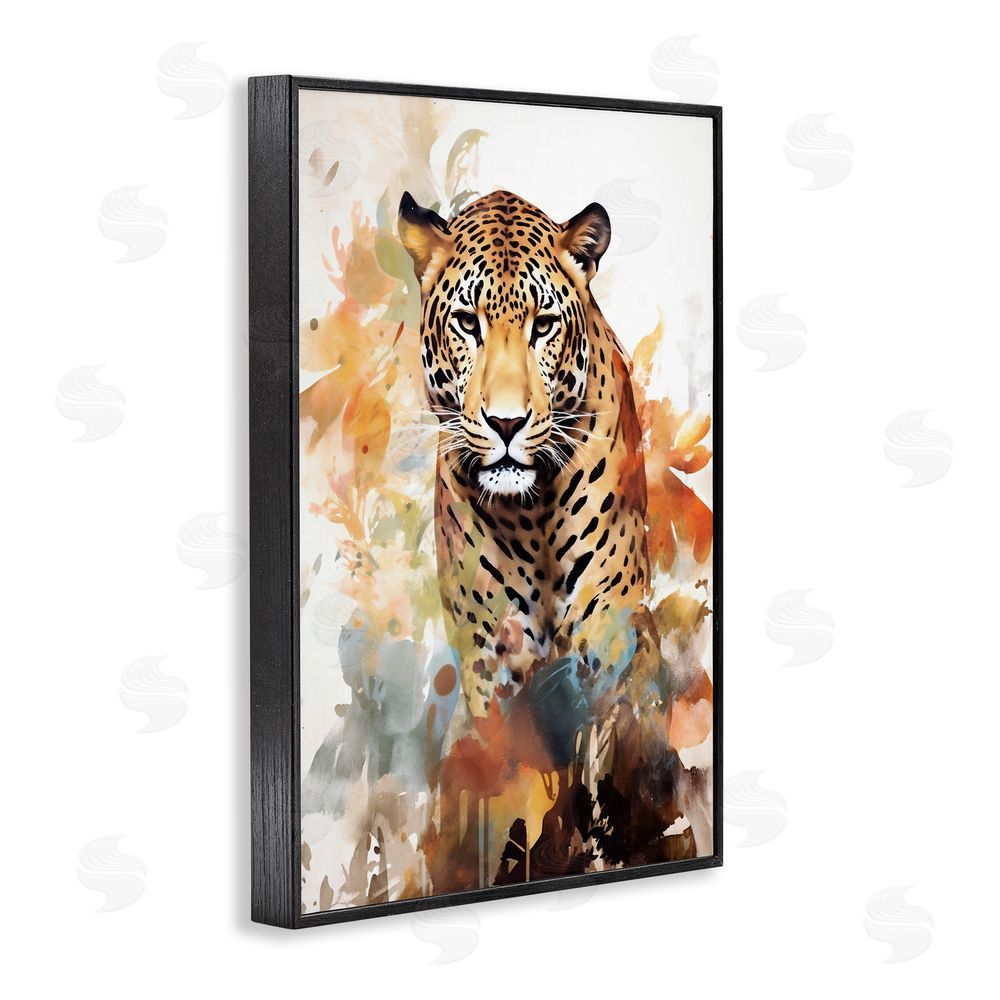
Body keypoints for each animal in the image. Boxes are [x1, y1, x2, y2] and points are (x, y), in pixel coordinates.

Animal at [398, 188, 650, 718]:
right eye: (467, 323)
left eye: (545, 326)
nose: (507, 423)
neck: (531, 515)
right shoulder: (488, 649)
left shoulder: (608, 627)